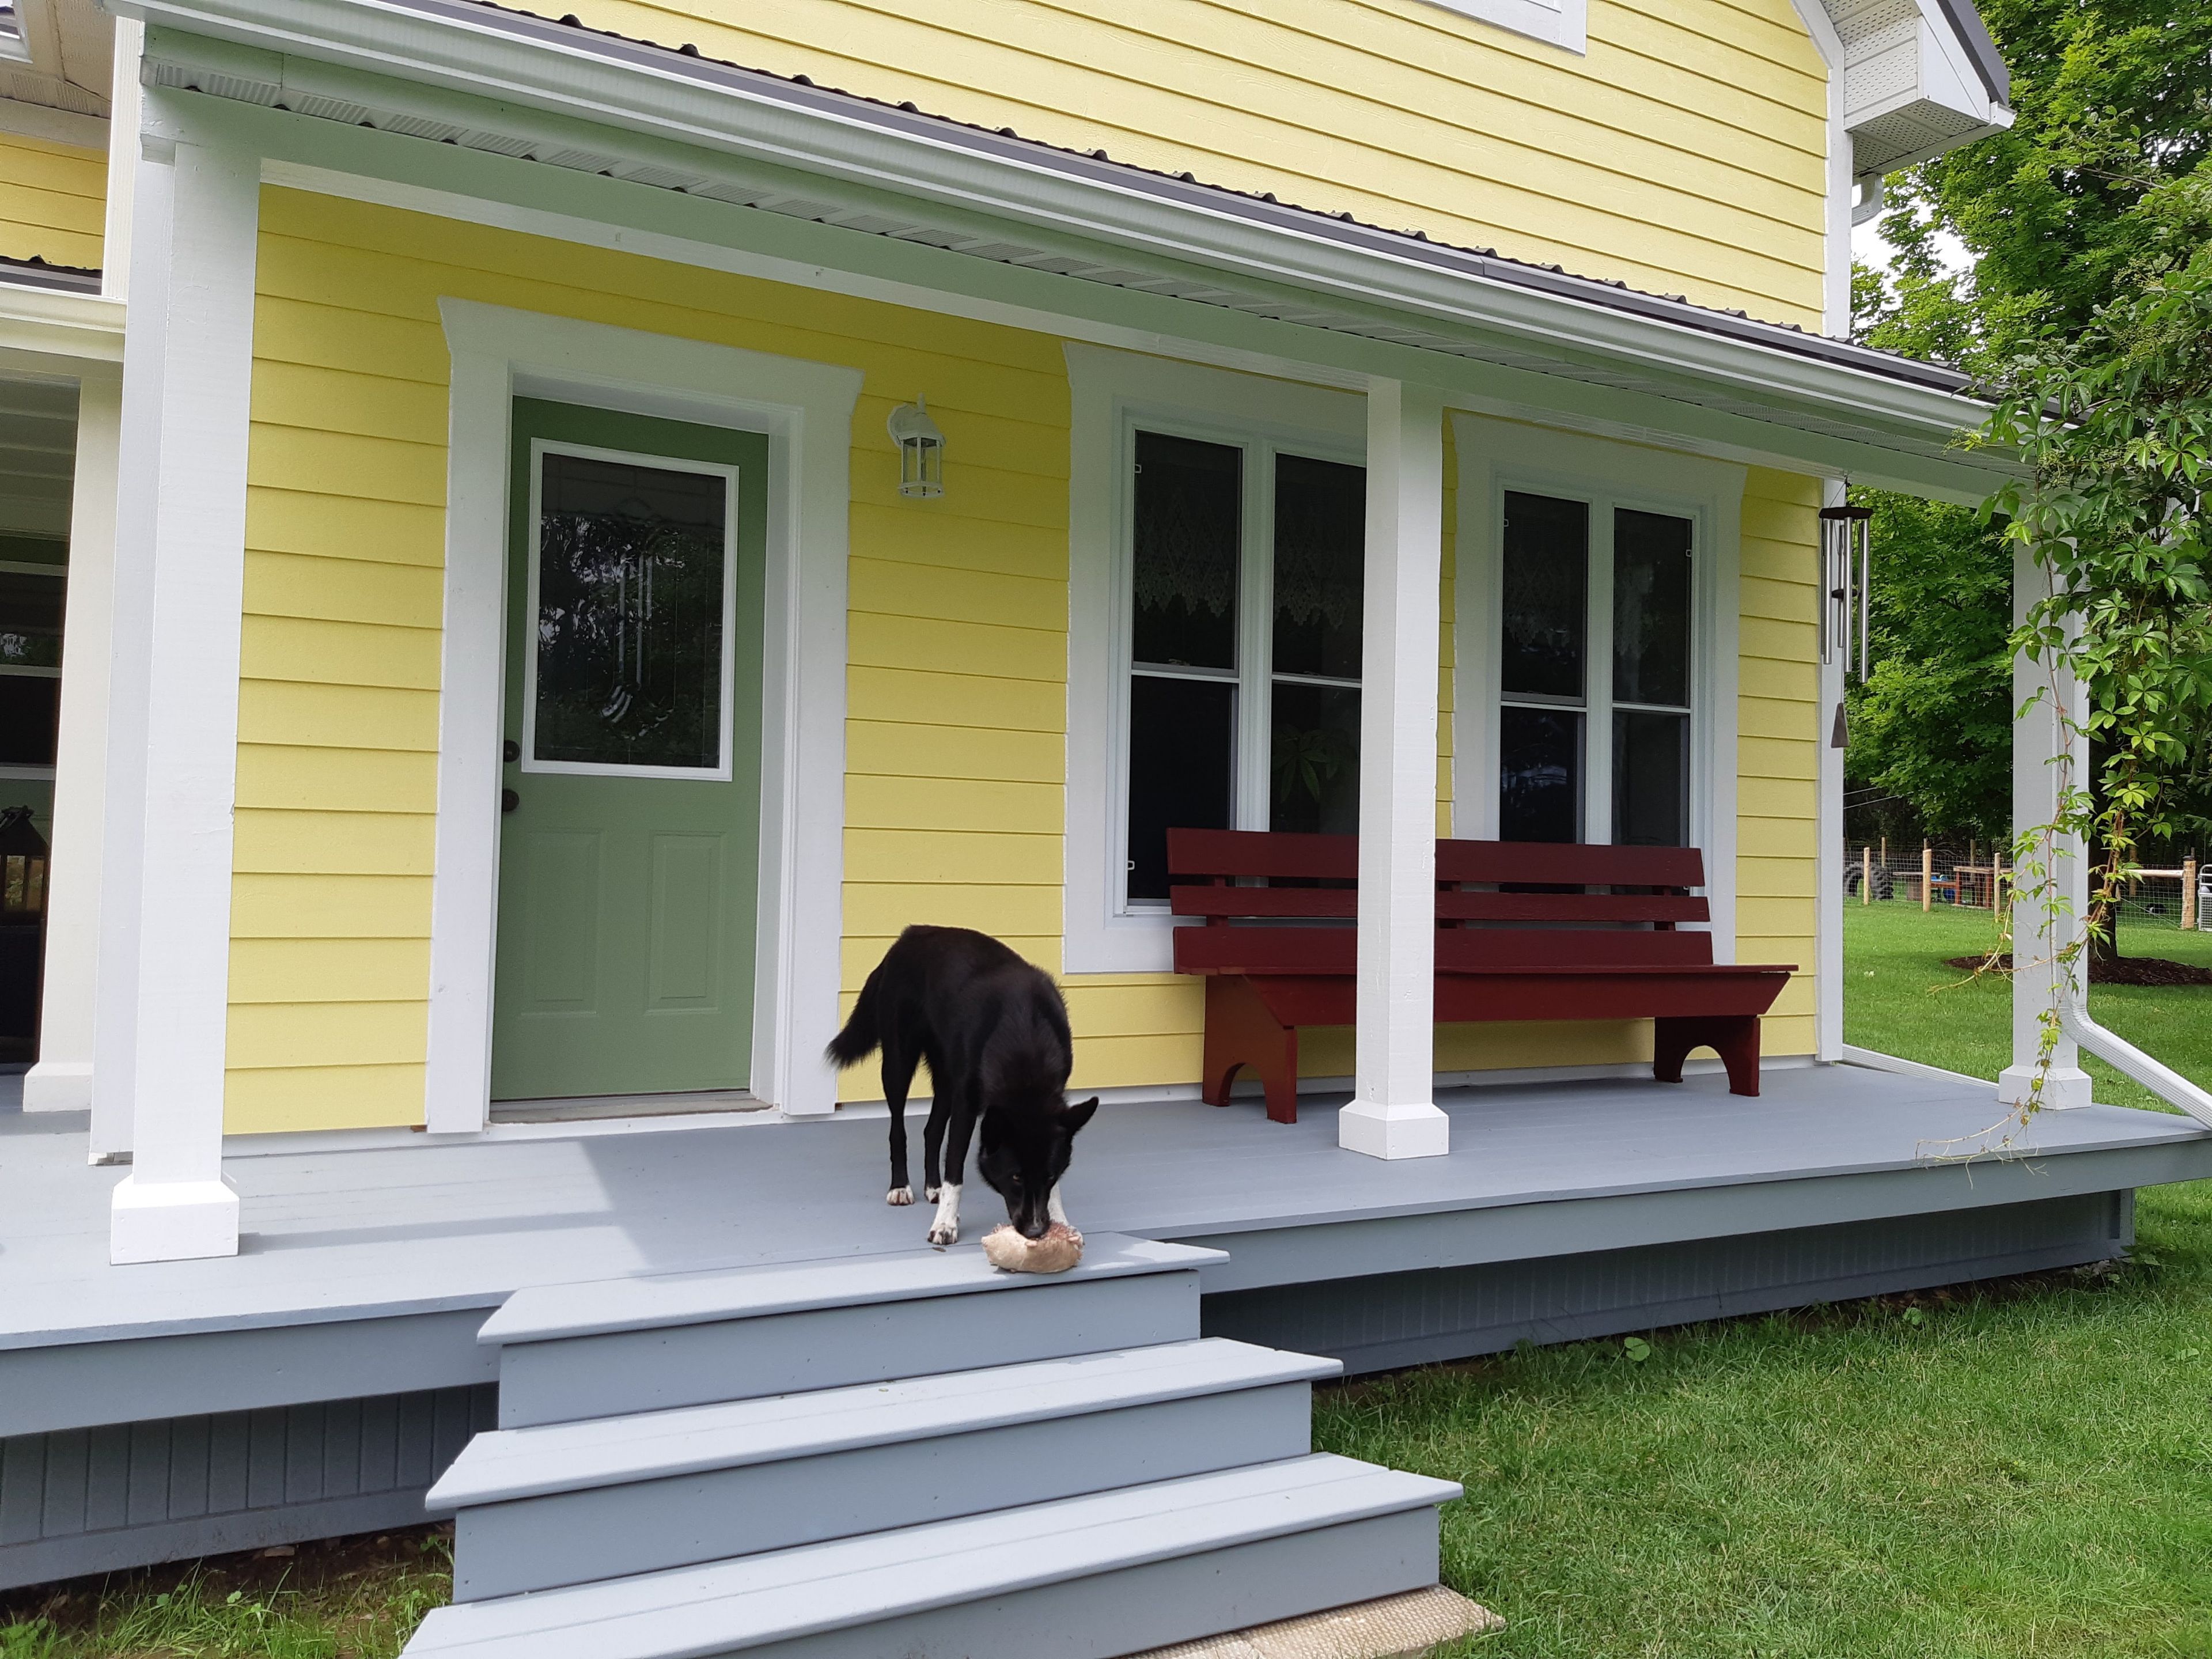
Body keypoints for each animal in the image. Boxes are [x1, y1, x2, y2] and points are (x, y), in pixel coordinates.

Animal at [827, 925, 1098, 1246]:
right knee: (898, 1130)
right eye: (1016, 1177)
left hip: (946, 1077)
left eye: (1050, 1176)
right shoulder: (966, 1105)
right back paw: (901, 1187)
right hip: (898, 1063)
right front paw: (944, 1224)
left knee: (932, 1130)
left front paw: (1061, 1223)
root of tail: (910, 935)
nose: (1035, 1231)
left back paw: (933, 1187)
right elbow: (955, 1168)